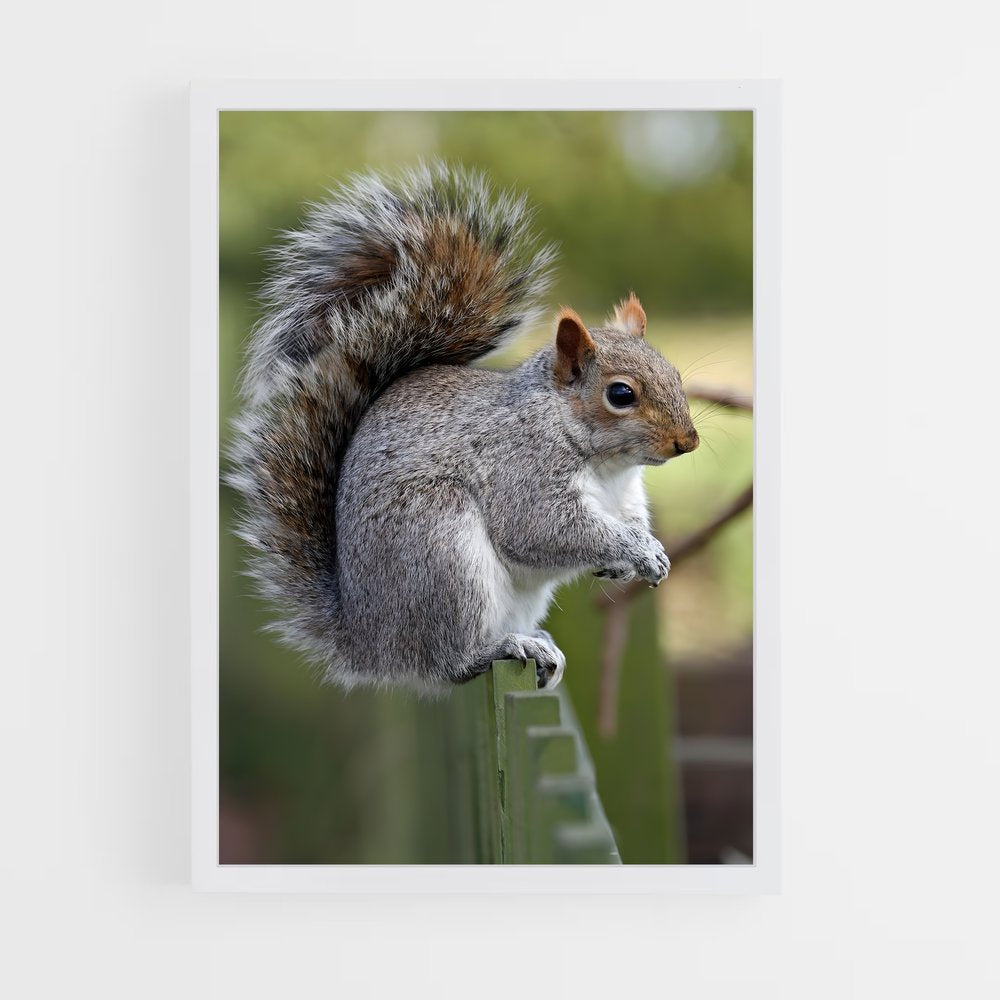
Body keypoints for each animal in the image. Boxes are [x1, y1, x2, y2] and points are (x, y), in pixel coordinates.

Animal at [227, 163, 699, 693]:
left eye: (674, 373)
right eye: (620, 394)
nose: (688, 442)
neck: (606, 465)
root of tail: (368, 644)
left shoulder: (625, 498)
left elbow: (629, 522)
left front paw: (644, 553)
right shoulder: (523, 469)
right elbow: (545, 529)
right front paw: (632, 550)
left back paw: (540, 647)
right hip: (442, 549)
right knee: (447, 664)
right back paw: (502, 648)